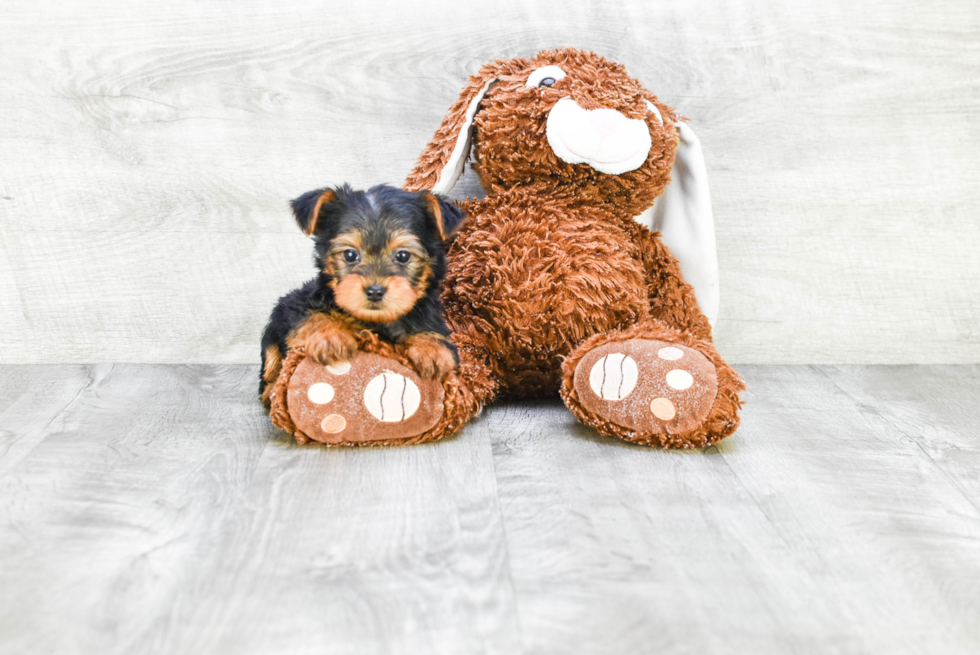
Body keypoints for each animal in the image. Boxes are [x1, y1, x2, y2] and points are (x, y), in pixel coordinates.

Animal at [256, 182, 464, 402]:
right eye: (350, 255)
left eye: (403, 256)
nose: (374, 291)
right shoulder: (296, 305)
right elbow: (310, 315)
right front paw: (330, 336)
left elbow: (430, 327)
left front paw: (432, 349)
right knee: (270, 361)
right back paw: (271, 391)